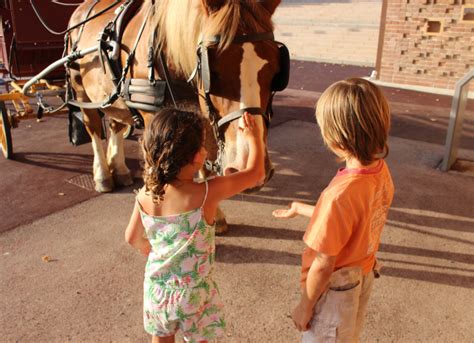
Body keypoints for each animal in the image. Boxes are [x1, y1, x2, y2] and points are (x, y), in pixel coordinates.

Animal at [68, 0, 284, 231]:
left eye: (275, 72)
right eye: (213, 73)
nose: (250, 166)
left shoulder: (203, 114)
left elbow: (205, 158)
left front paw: (212, 212)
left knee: (116, 124)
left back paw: (119, 169)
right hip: (81, 92)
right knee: (93, 128)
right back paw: (103, 175)